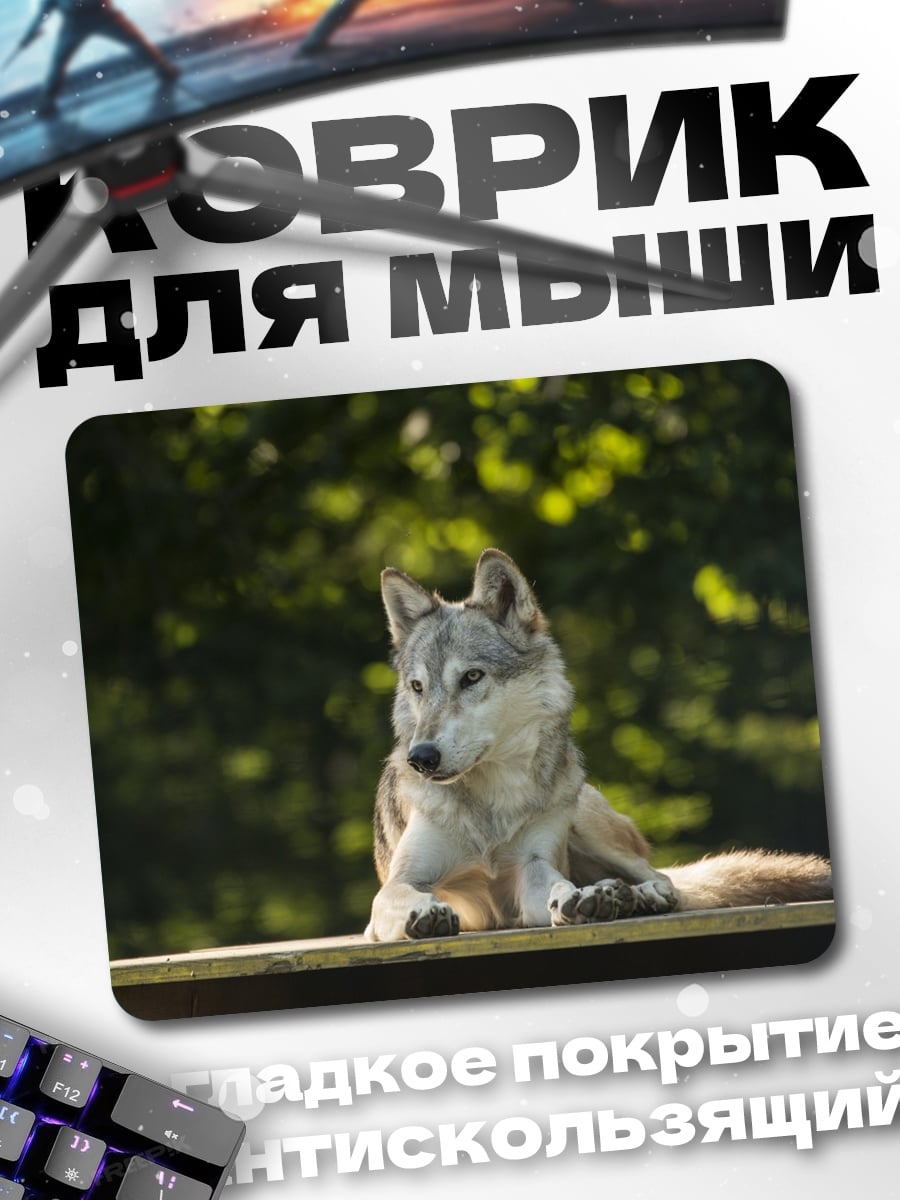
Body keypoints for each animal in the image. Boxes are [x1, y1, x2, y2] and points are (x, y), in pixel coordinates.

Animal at [365, 548, 832, 942]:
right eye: (418, 687)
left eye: (472, 677)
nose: (421, 758)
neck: (492, 807)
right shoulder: (397, 888)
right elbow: (404, 896)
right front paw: (426, 913)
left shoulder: (532, 870)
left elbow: (557, 882)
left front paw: (578, 901)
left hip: (586, 823)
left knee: (665, 880)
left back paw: (634, 896)